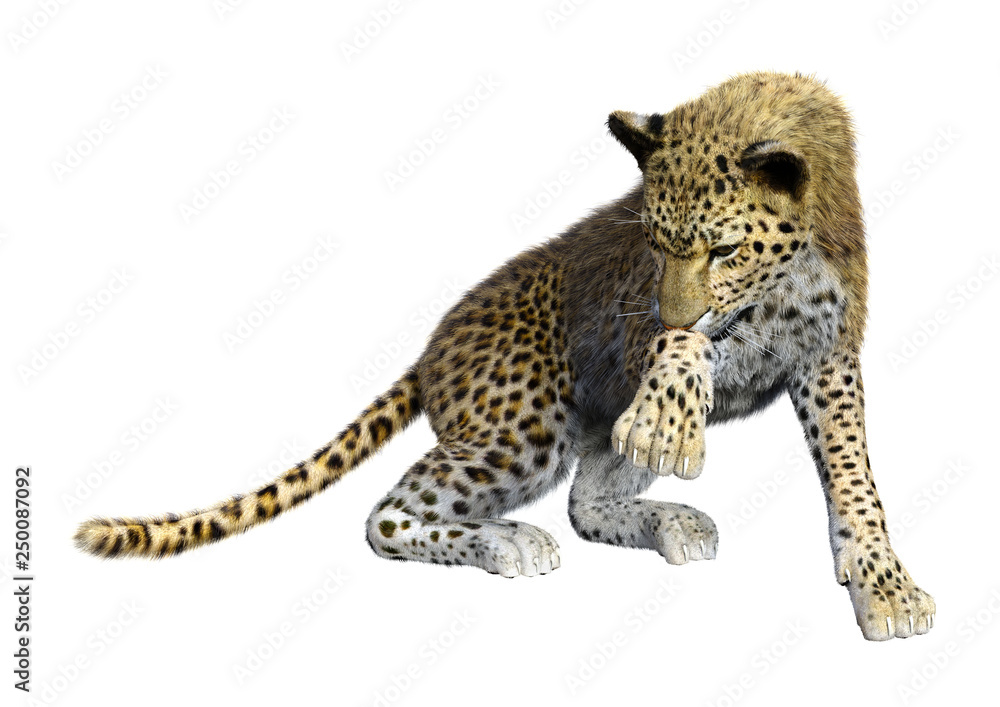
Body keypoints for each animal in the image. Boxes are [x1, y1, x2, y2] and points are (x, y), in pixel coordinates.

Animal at [75, 71, 935, 641]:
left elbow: (854, 477)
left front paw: (883, 584)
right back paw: (505, 541)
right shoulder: (643, 325)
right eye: (655, 244)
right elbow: (684, 348)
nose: (668, 307)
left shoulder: (829, 359)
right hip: (524, 426)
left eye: (723, 250)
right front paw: (672, 403)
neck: (788, 275)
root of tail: (431, 349)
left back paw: (666, 521)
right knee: (389, 516)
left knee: (586, 502)